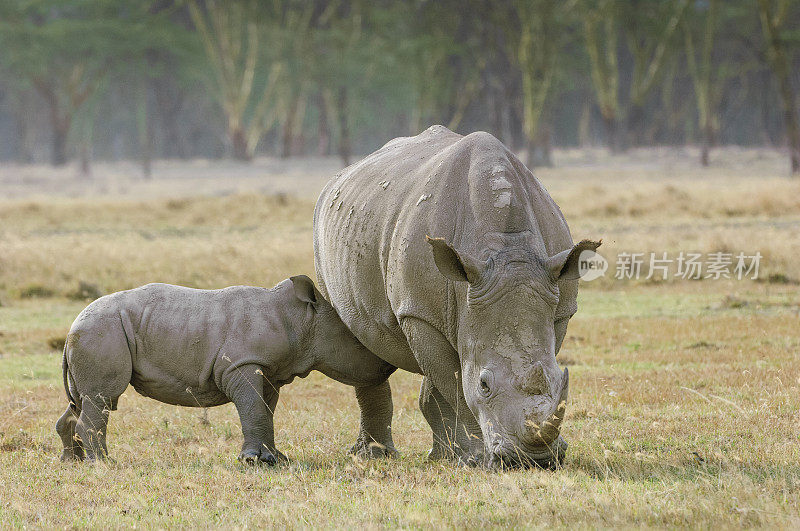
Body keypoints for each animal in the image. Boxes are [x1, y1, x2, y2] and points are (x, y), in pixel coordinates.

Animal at [55, 278, 394, 466]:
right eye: (356, 340)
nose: (388, 365)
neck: (300, 318)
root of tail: (72, 326)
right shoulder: (239, 364)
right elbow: (254, 409)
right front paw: (255, 461)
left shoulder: (270, 370)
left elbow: (264, 410)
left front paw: (277, 459)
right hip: (101, 331)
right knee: (103, 397)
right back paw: (104, 464)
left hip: (96, 332)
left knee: (84, 400)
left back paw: (73, 462)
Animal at [316, 125, 596, 470]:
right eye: (485, 385)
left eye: (562, 379)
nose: (534, 460)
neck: (508, 250)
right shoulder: (418, 312)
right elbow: (458, 386)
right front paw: (477, 459)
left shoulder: (557, 306)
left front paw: (466, 457)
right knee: (361, 348)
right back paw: (375, 455)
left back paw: (443, 456)